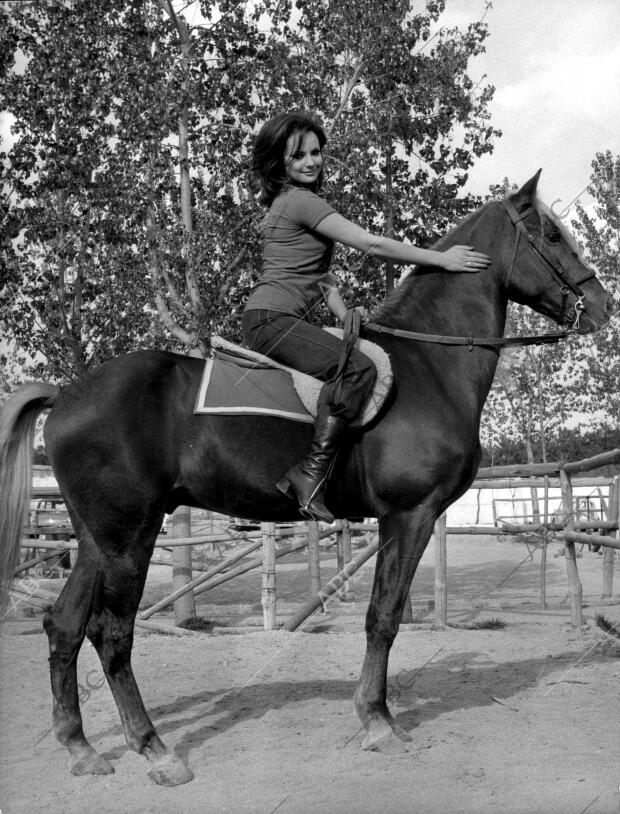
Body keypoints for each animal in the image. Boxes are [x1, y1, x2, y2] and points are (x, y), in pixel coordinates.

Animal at [0, 174, 612, 792]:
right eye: (551, 235)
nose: (603, 306)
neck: (428, 368)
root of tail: (69, 392)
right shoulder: (409, 515)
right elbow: (384, 616)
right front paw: (377, 721)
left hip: (95, 538)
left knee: (64, 624)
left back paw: (80, 748)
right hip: (131, 536)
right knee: (111, 632)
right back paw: (154, 750)